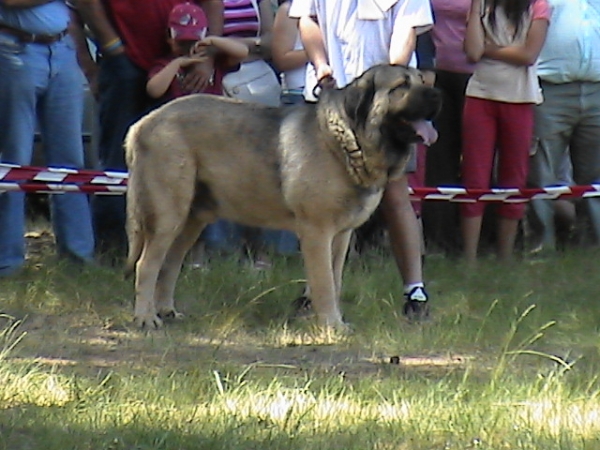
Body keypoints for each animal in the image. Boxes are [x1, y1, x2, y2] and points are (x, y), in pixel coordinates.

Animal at [124, 64, 440, 326]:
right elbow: (324, 282)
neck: (347, 139)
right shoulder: (316, 232)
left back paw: (166, 310)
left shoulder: (340, 236)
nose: (438, 94)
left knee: (169, 264)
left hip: (192, 220)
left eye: (422, 81)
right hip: (168, 216)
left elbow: (334, 279)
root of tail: (142, 123)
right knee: (146, 265)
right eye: (401, 85)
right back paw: (145, 318)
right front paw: (331, 325)